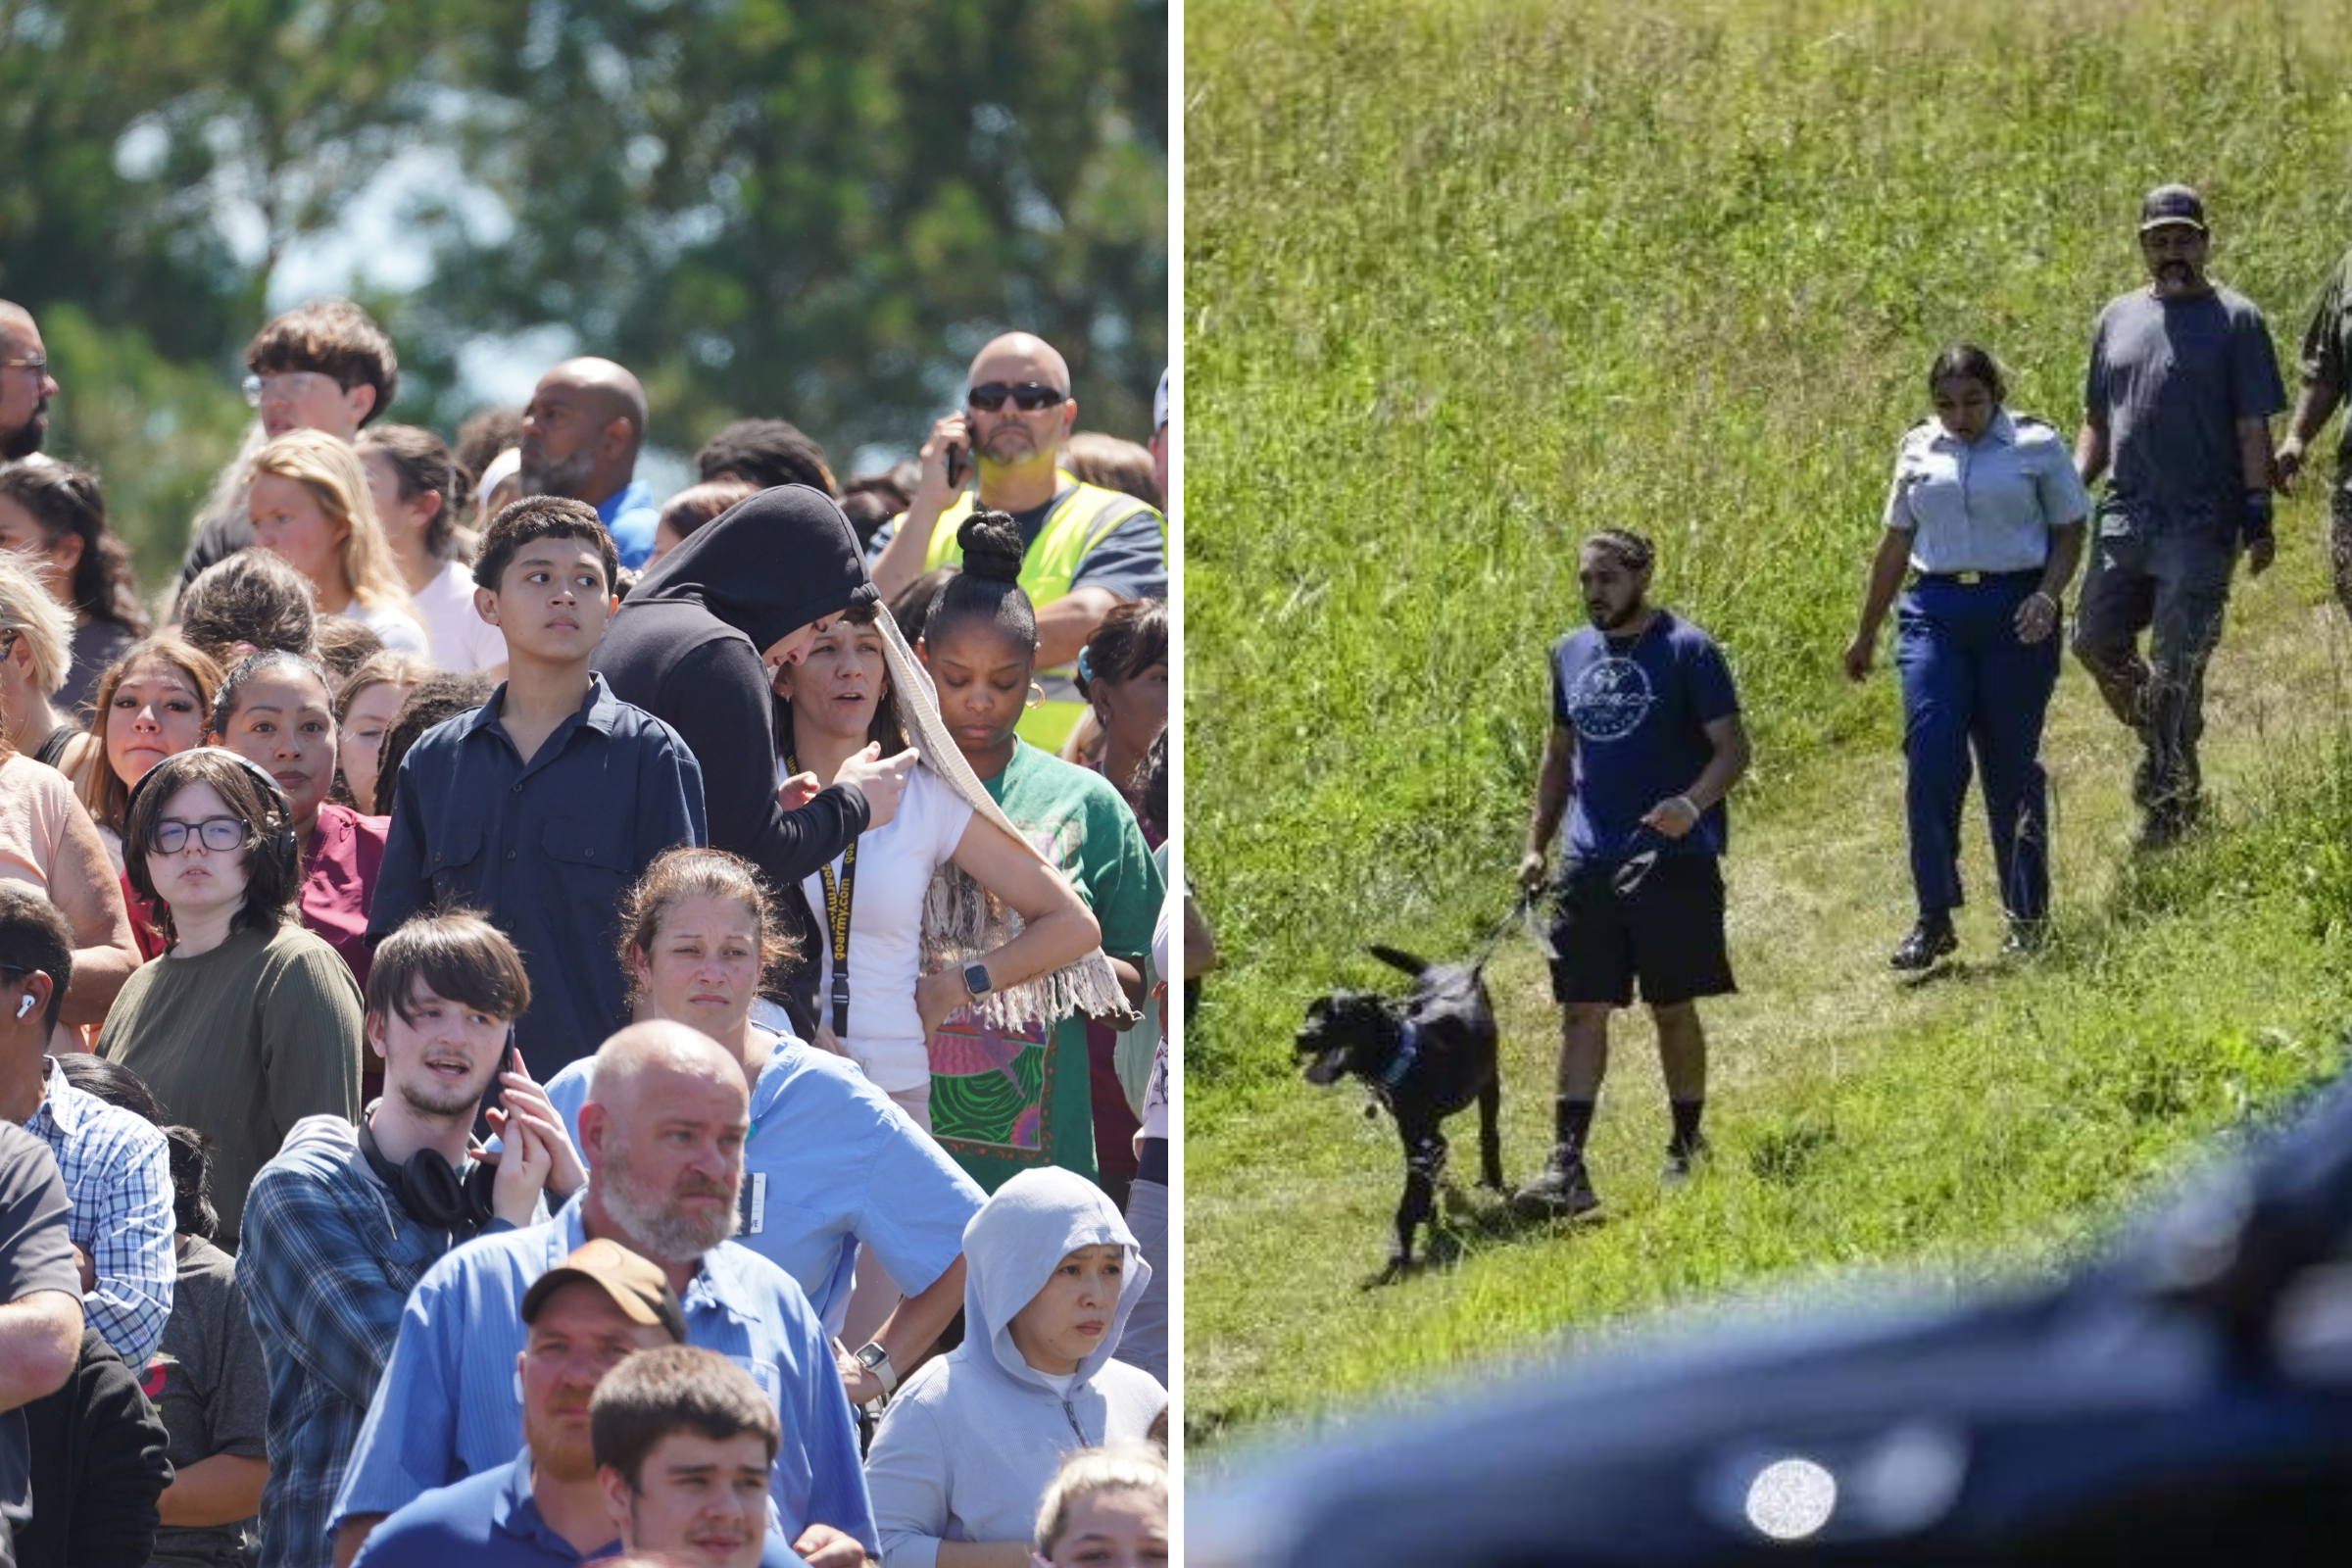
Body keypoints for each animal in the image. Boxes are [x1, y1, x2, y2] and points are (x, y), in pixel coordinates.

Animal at [1298, 945, 1495, 1288]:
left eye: (1335, 1016)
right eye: (1308, 1014)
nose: (1299, 1036)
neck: (1397, 1052)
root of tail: (1442, 967)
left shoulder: (1420, 1140)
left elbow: (1406, 1206)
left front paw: (1395, 1259)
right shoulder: (1413, 1134)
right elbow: (1421, 1187)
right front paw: (1424, 1217)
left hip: (1489, 1082)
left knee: (1488, 1132)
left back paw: (1493, 1180)